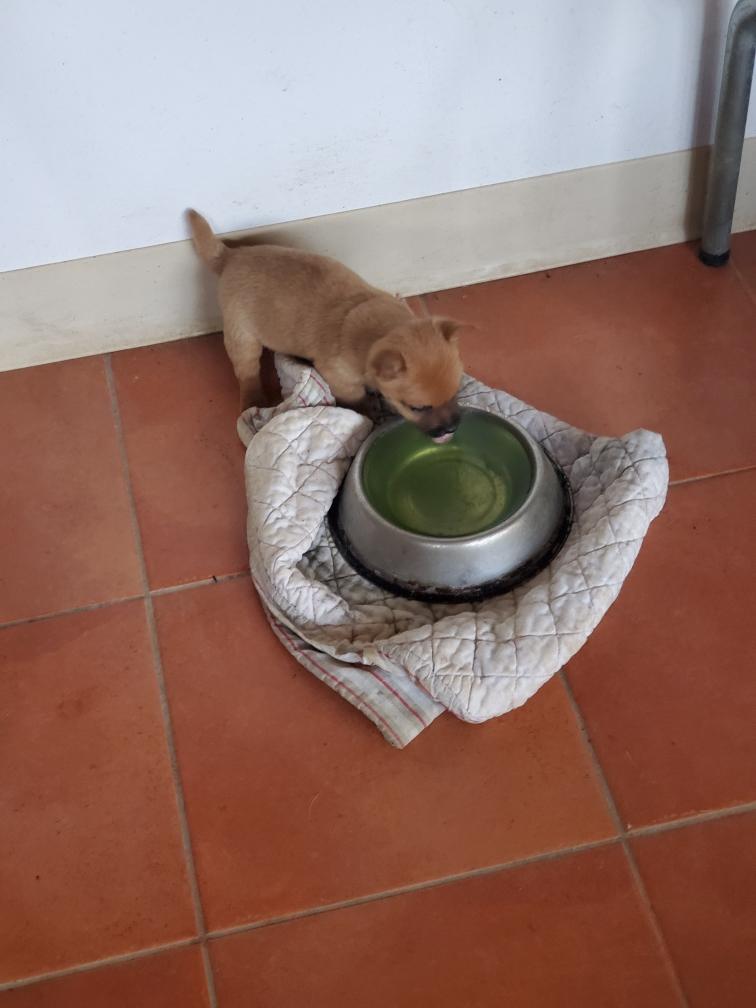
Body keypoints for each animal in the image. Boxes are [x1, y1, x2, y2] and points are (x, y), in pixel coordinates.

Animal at [187, 210, 466, 442]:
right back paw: (252, 399)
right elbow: (357, 399)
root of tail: (231, 256)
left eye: (455, 392)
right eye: (417, 408)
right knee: (247, 373)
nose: (452, 428)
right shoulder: (341, 379)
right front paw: (369, 413)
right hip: (242, 337)